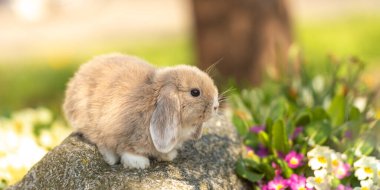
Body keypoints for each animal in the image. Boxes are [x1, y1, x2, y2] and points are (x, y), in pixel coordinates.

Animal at [63, 53, 220, 169]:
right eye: (195, 92)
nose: (216, 106)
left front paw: (168, 155)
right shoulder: (124, 131)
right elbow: (128, 149)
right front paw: (139, 163)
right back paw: (111, 158)